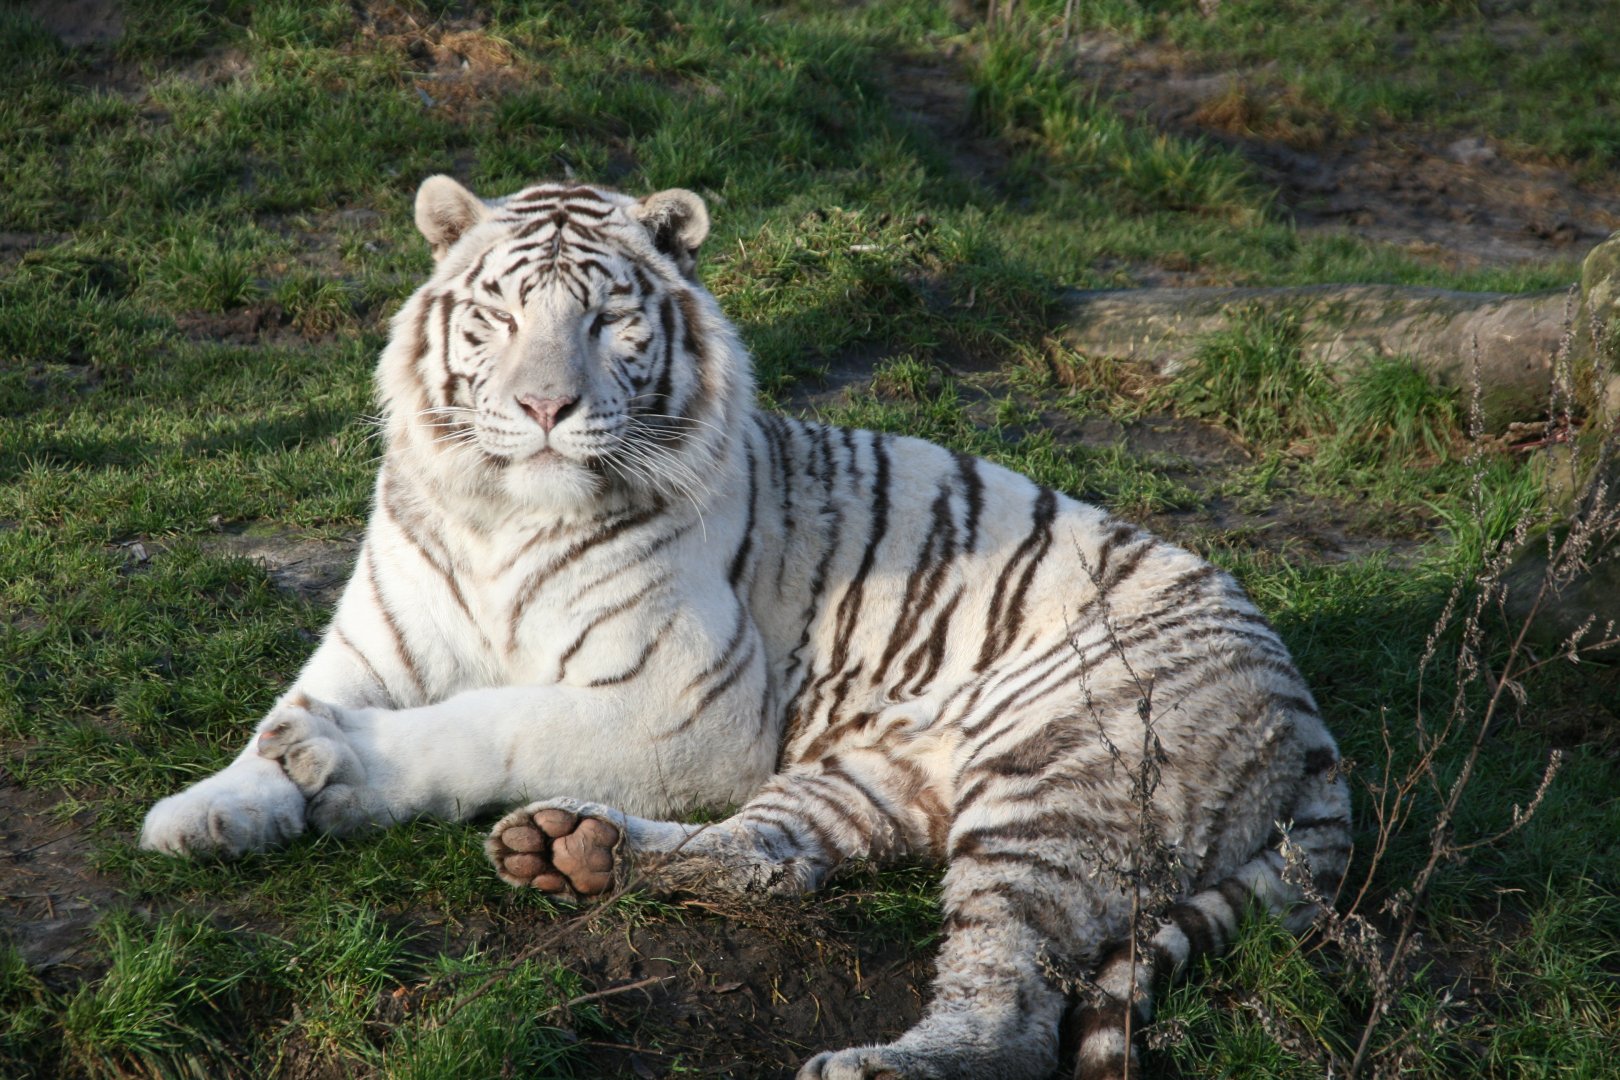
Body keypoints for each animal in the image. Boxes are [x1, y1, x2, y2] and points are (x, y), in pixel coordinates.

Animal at [139, 175, 1352, 1080]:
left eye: (607, 319)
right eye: (501, 317)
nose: (543, 408)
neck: (499, 518)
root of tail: (1305, 711)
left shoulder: (688, 704)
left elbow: (493, 719)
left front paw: (330, 762)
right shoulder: (368, 647)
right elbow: (276, 722)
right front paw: (204, 812)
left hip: (1051, 785)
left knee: (1008, 1007)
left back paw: (878, 1064)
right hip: (882, 772)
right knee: (779, 860)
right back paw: (573, 851)